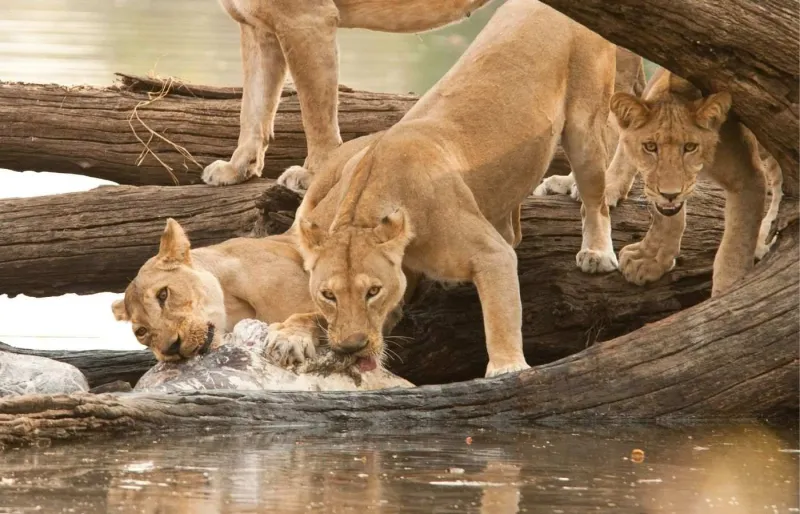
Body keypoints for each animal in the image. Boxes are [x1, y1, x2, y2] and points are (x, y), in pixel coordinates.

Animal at [201, 0, 495, 190]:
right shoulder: (256, 25)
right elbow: (253, 105)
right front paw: (237, 169)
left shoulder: (308, 20)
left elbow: (315, 114)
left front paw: (314, 174)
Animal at [287, 0, 620, 378]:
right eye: (328, 295)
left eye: (373, 291)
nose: (350, 346)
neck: (364, 208)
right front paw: (293, 335)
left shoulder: (492, 255)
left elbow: (500, 317)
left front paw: (506, 367)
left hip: (585, 125)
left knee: (595, 198)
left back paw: (596, 253)